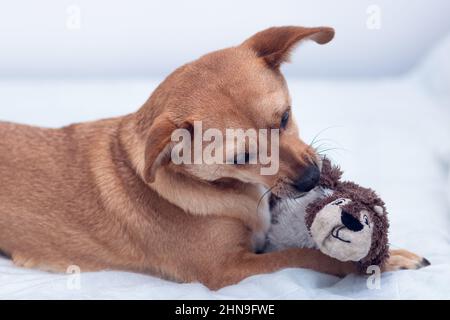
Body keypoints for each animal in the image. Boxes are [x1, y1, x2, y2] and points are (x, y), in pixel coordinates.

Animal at [0, 26, 426, 288]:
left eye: (285, 117)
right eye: (243, 156)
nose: (310, 179)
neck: (235, 192)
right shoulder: (228, 270)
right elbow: (308, 257)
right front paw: (380, 260)